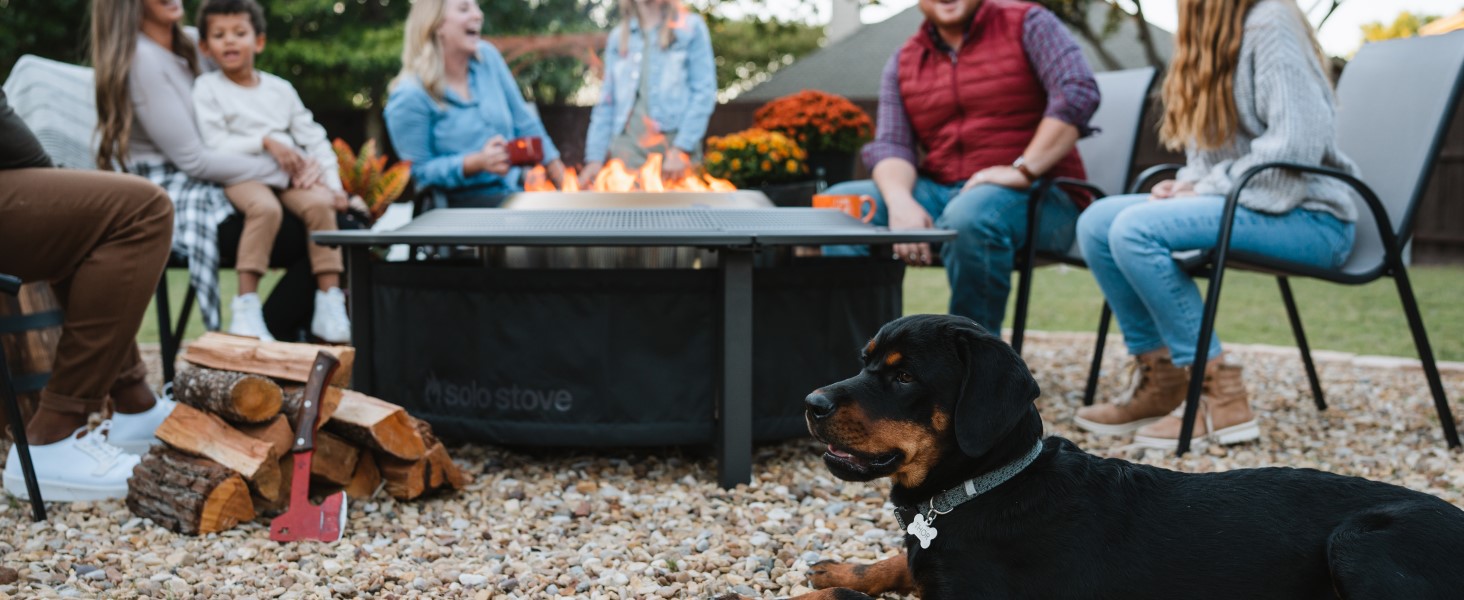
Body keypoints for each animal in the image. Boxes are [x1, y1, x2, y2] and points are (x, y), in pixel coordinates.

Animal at [726, 316, 1464, 597]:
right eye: (864, 362)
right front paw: (846, 568)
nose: (811, 402)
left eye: (904, 376)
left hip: (1359, 542)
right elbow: (901, 561)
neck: (984, 486)